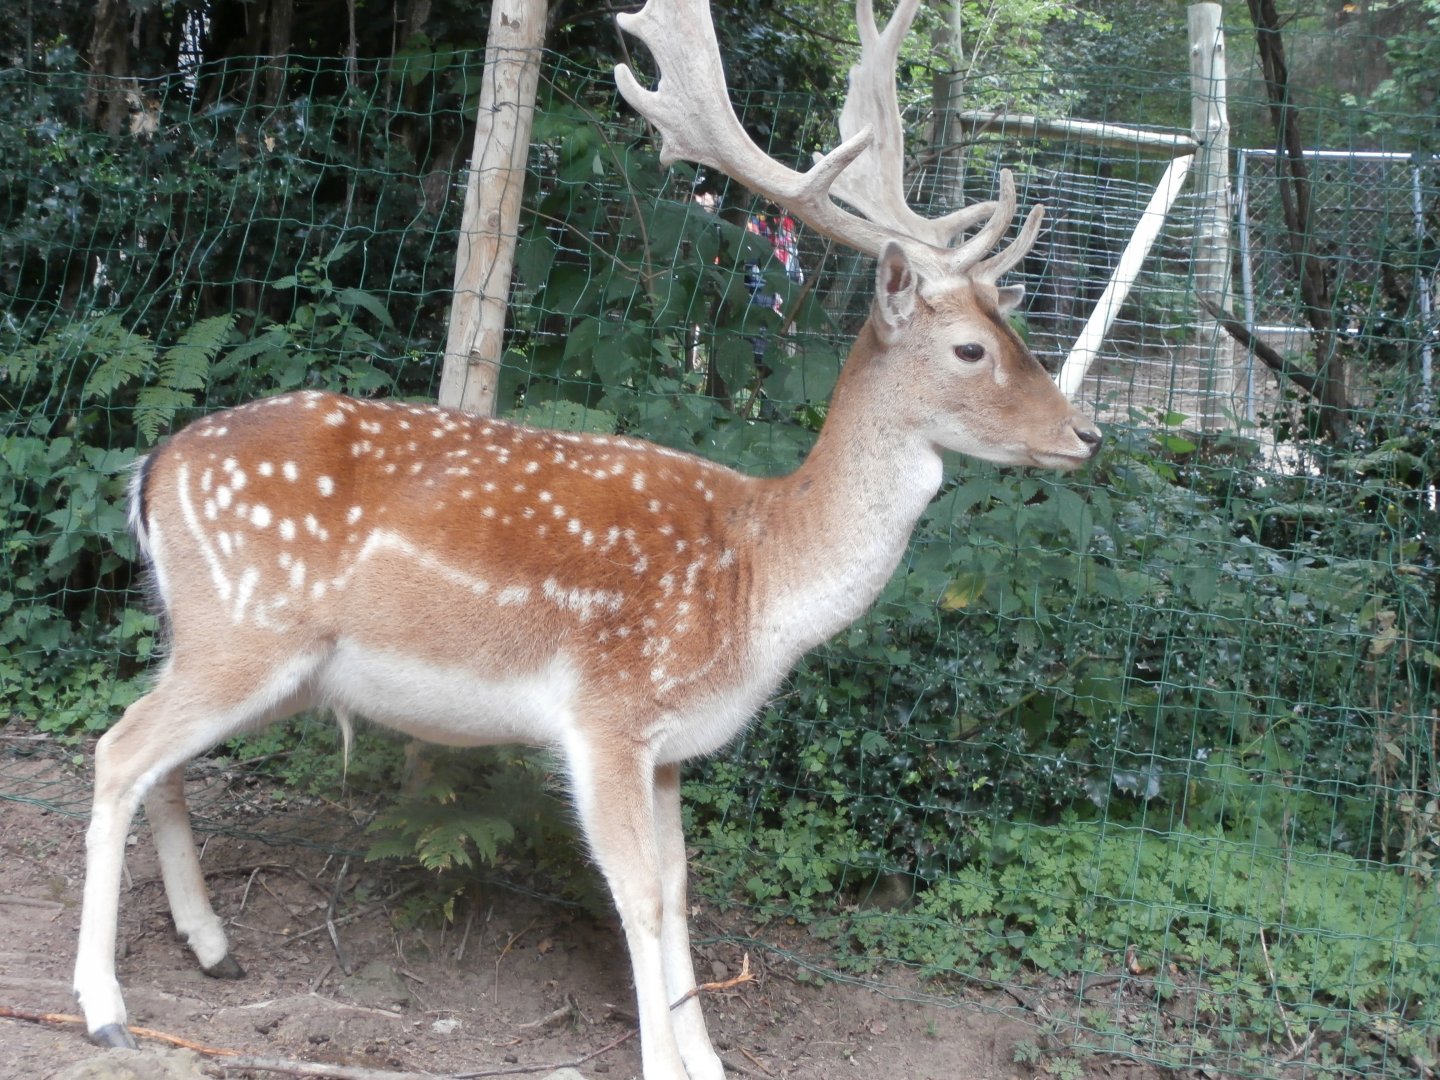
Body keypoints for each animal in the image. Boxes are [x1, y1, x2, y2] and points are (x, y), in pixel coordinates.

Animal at [71, 1, 1100, 1077]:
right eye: (970, 349)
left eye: (1012, 332)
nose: (1086, 435)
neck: (757, 577)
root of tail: (153, 466)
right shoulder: (607, 712)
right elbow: (638, 895)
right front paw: (663, 1062)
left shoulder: (673, 746)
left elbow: (681, 891)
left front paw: (709, 1062)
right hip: (244, 631)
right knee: (115, 750)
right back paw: (104, 1006)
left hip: (234, 648)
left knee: (158, 760)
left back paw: (213, 947)